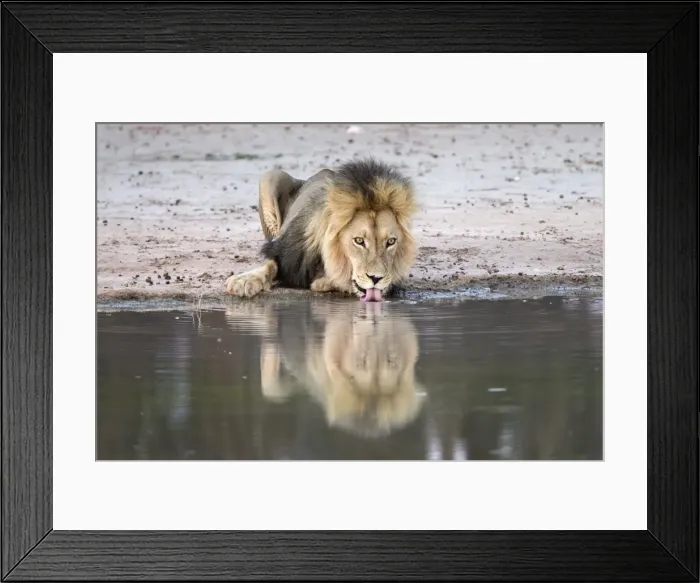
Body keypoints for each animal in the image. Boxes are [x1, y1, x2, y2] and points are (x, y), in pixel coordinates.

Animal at [225, 158, 418, 301]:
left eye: (391, 242)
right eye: (359, 241)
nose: (376, 279)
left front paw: (326, 282)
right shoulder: (285, 253)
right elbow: (269, 264)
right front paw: (244, 280)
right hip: (271, 176)